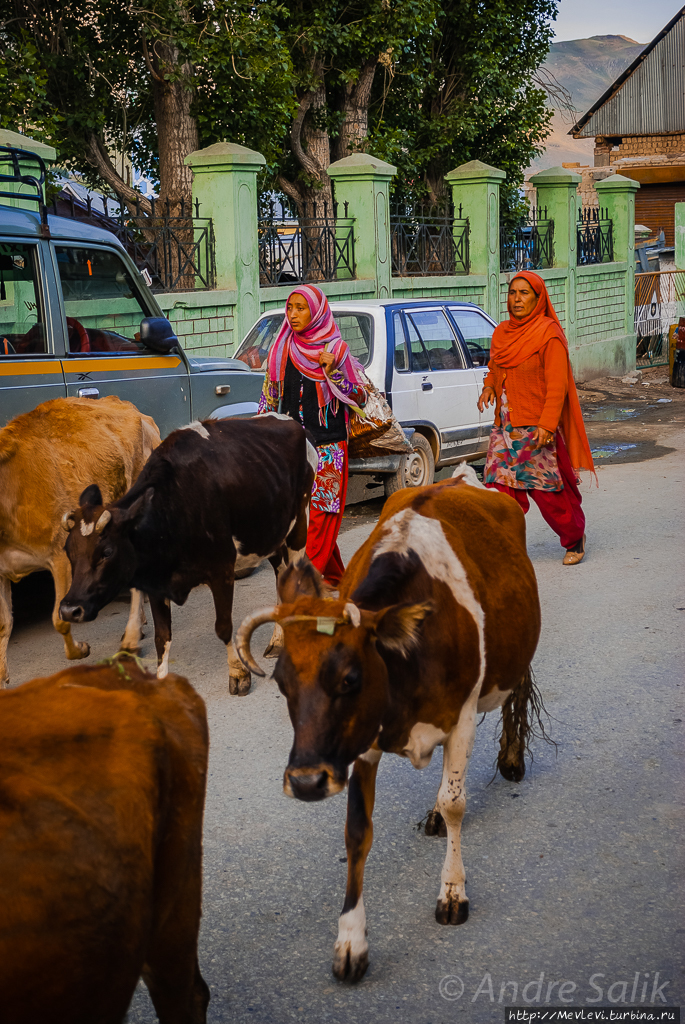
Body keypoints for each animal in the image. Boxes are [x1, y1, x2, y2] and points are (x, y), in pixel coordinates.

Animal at [60, 415, 317, 696]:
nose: (69, 609)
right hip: (270, 537)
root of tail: (287, 420)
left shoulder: (221, 570)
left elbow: (224, 627)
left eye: (106, 552)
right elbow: (162, 638)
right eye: (68, 551)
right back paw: (278, 641)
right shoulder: (155, 582)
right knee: (281, 577)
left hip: (298, 529)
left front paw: (238, 673)